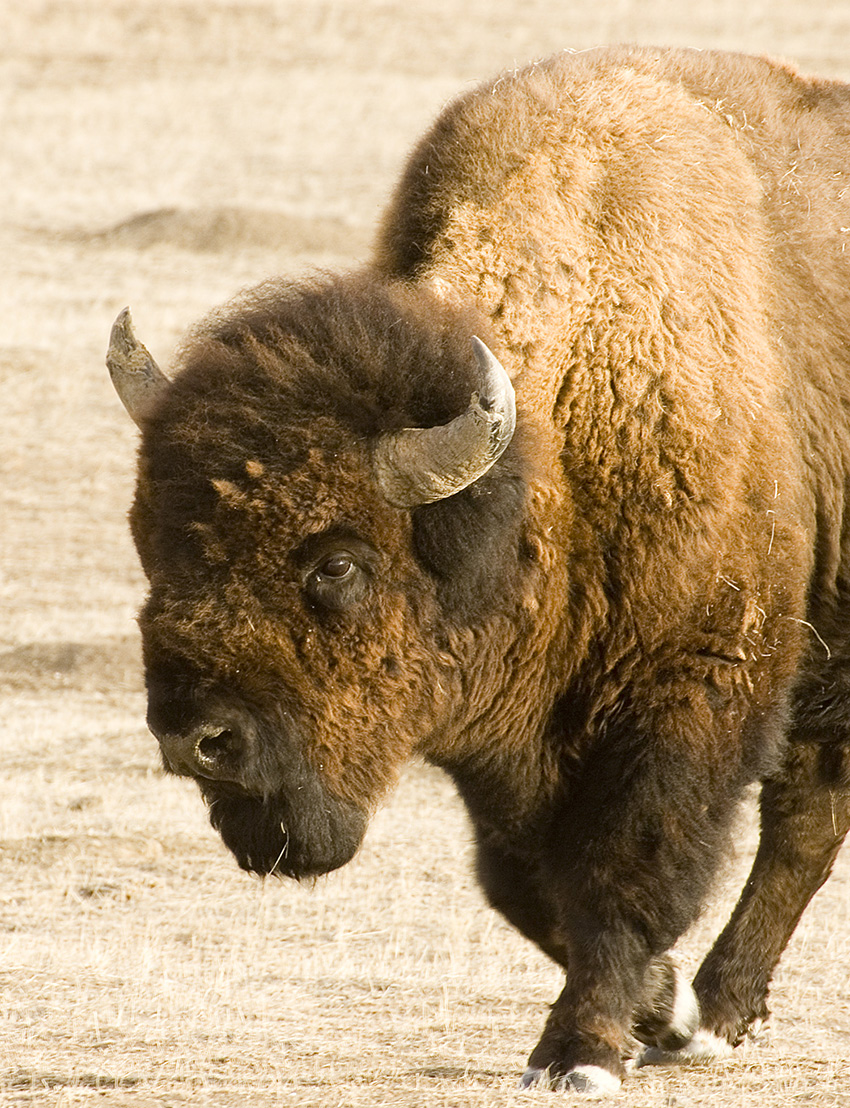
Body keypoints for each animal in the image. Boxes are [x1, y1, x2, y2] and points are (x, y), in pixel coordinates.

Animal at [107, 45, 850, 1094]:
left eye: (338, 563)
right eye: (152, 543)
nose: (197, 740)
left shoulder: (690, 691)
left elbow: (622, 872)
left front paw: (582, 1054)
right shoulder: (501, 743)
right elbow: (524, 890)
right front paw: (661, 1008)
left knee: (801, 822)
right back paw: (715, 1012)